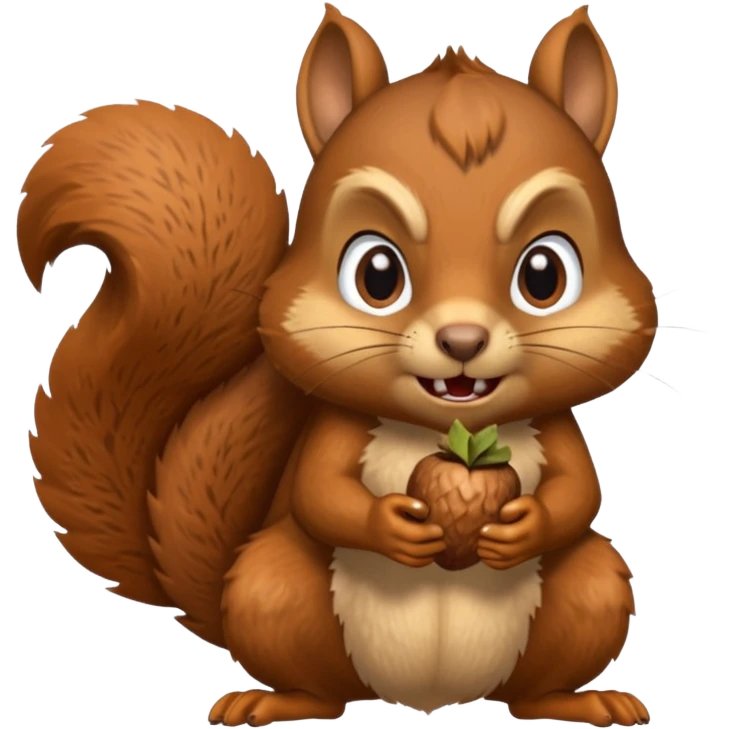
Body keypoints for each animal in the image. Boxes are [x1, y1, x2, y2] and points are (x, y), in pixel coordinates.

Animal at [18, 4, 657, 728]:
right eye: (375, 274)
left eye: (544, 274)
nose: (462, 338)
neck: (450, 433)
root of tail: (426, 697)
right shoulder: (337, 431)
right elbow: (319, 494)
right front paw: (394, 525)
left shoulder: (556, 430)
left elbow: (579, 492)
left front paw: (522, 527)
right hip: (273, 588)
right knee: (318, 685)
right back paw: (276, 699)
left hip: (588, 592)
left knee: (538, 678)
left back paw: (579, 700)